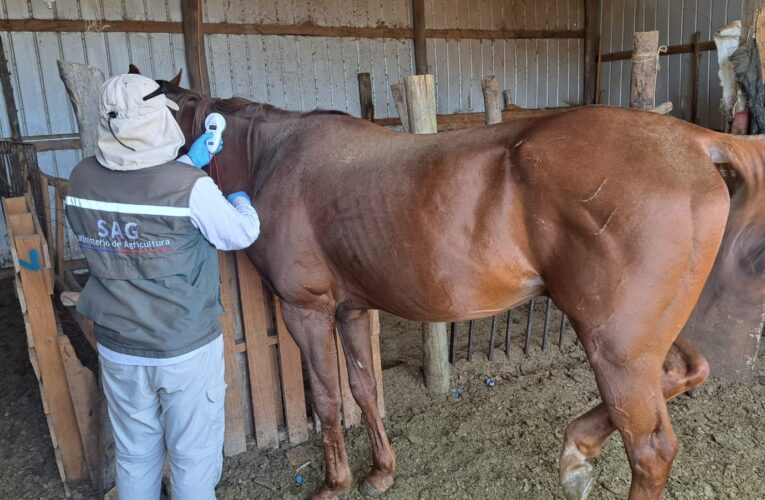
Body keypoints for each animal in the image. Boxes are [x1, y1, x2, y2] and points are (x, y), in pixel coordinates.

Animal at [143, 68, 765, 500]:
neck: (276, 157)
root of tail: (694, 143)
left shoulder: (306, 310)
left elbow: (327, 398)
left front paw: (334, 482)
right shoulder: (350, 310)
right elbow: (364, 389)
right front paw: (380, 472)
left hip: (616, 350)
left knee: (651, 450)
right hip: (645, 341)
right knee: (688, 372)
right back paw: (578, 449)